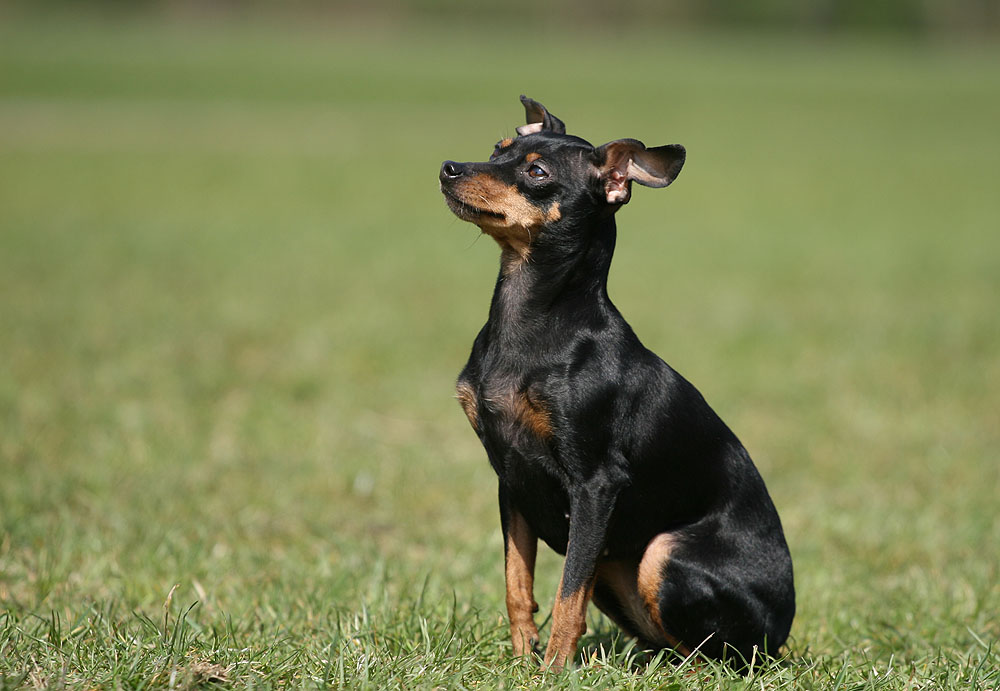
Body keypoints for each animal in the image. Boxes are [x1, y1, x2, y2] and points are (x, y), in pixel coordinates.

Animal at [442, 96, 792, 672]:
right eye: (497, 150)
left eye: (536, 173)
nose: (449, 168)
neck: (530, 321)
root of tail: (782, 632)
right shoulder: (511, 478)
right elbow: (519, 584)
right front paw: (523, 659)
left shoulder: (595, 485)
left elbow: (567, 596)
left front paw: (552, 671)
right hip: (618, 566)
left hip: (662, 555)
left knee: (720, 654)